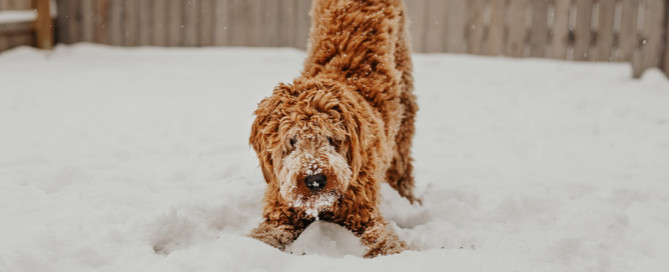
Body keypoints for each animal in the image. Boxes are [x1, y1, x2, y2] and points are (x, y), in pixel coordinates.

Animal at [250, 0, 418, 258]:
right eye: (292, 140)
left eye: (331, 138)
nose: (315, 179)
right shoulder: (281, 213)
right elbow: (265, 236)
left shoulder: (364, 215)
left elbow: (385, 242)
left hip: (405, 101)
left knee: (402, 162)